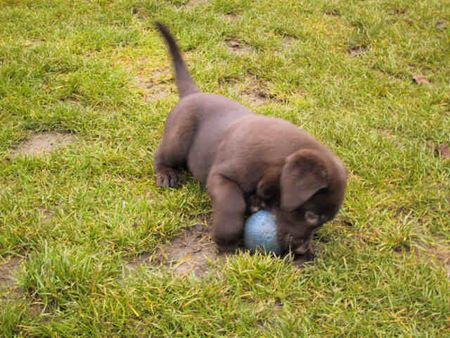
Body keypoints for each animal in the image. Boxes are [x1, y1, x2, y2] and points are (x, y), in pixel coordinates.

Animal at [155, 23, 348, 256]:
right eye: (311, 215)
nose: (302, 250)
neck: (271, 164)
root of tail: (193, 93)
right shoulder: (220, 176)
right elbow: (232, 203)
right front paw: (227, 238)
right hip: (178, 138)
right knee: (161, 155)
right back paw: (166, 174)